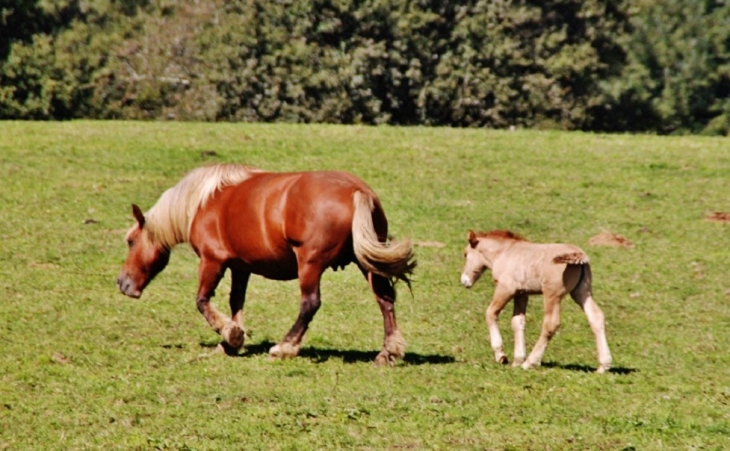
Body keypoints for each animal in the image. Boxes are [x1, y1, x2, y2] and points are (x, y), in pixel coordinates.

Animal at [118, 164, 416, 366]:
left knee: (310, 303)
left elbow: (202, 301)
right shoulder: (241, 267)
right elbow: (236, 301)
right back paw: (388, 351)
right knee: (385, 300)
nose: (122, 283)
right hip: (367, 264)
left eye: (131, 241)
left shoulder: (213, 260)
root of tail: (357, 190)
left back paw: (285, 347)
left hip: (310, 264)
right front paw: (232, 340)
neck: (203, 200)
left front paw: (229, 333)